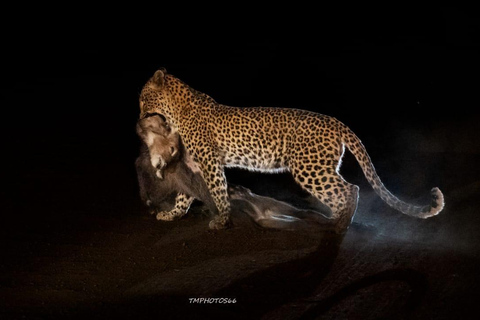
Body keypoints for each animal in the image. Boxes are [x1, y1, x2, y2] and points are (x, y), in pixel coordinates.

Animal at [137, 69, 444, 231]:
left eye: (143, 99)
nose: (138, 115)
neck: (176, 111)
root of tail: (337, 122)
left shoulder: (210, 163)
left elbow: (218, 191)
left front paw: (222, 219)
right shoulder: (194, 164)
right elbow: (183, 194)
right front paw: (173, 214)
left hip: (311, 169)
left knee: (351, 189)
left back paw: (339, 224)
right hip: (321, 167)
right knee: (343, 192)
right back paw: (332, 219)